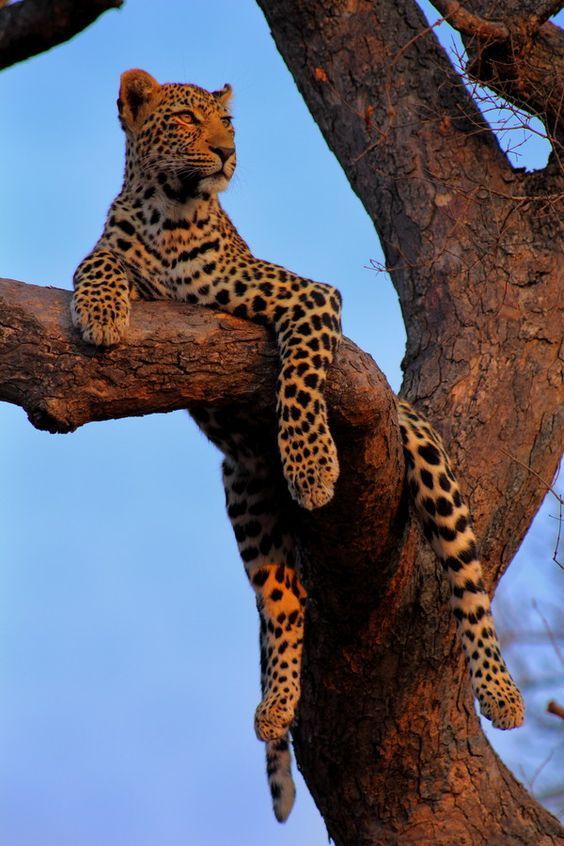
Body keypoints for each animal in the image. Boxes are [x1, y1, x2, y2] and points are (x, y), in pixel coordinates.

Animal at [71, 69, 525, 823]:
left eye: (227, 123)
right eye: (186, 119)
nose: (225, 155)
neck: (171, 208)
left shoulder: (308, 296)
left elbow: (303, 375)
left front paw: (312, 466)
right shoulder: (115, 252)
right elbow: (95, 264)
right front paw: (102, 313)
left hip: (428, 465)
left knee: (470, 584)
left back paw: (502, 693)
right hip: (248, 502)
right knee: (285, 604)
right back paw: (275, 705)